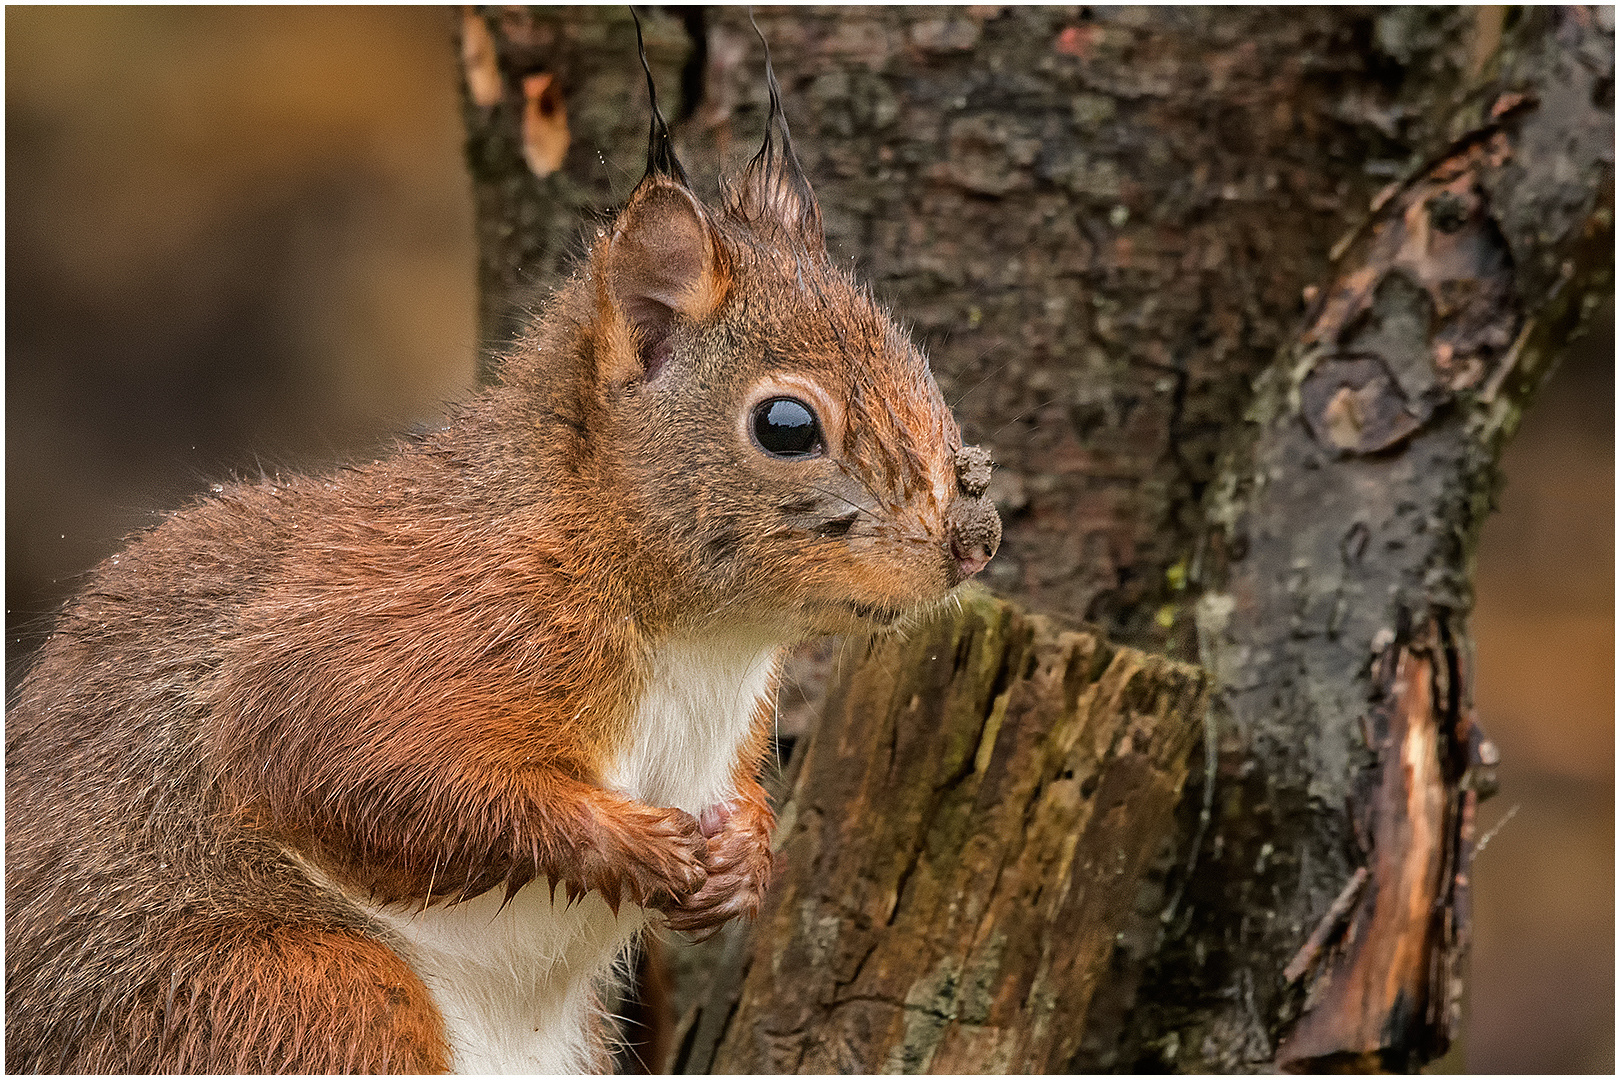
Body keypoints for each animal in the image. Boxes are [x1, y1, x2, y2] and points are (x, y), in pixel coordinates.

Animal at [6, 29, 997, 1075]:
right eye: (786, 425)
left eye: (916, 360)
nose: (973, 543)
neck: (699, 636)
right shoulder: (415, 625)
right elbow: (342, 756)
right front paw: (635, 844)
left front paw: (742, 858)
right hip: (298, 994)